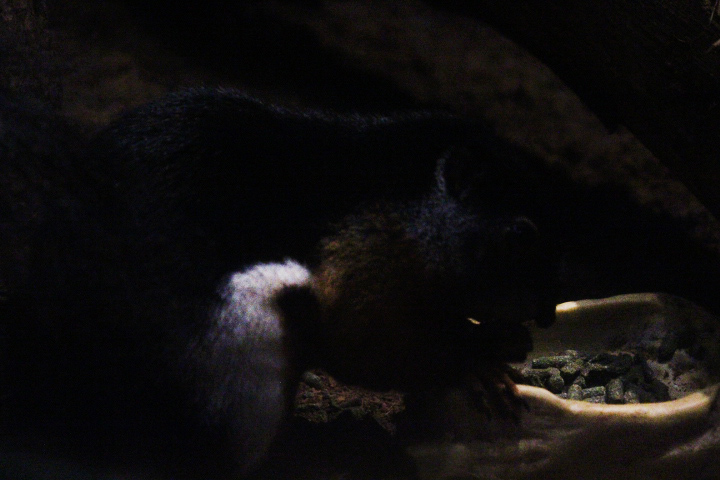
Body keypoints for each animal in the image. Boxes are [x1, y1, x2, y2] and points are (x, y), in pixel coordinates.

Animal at [1, 88, 556, 477]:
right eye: (521, 235)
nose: (548, 314)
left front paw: (501, 341)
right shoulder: (366, 275)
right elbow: (375, 349)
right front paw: (481, 356)